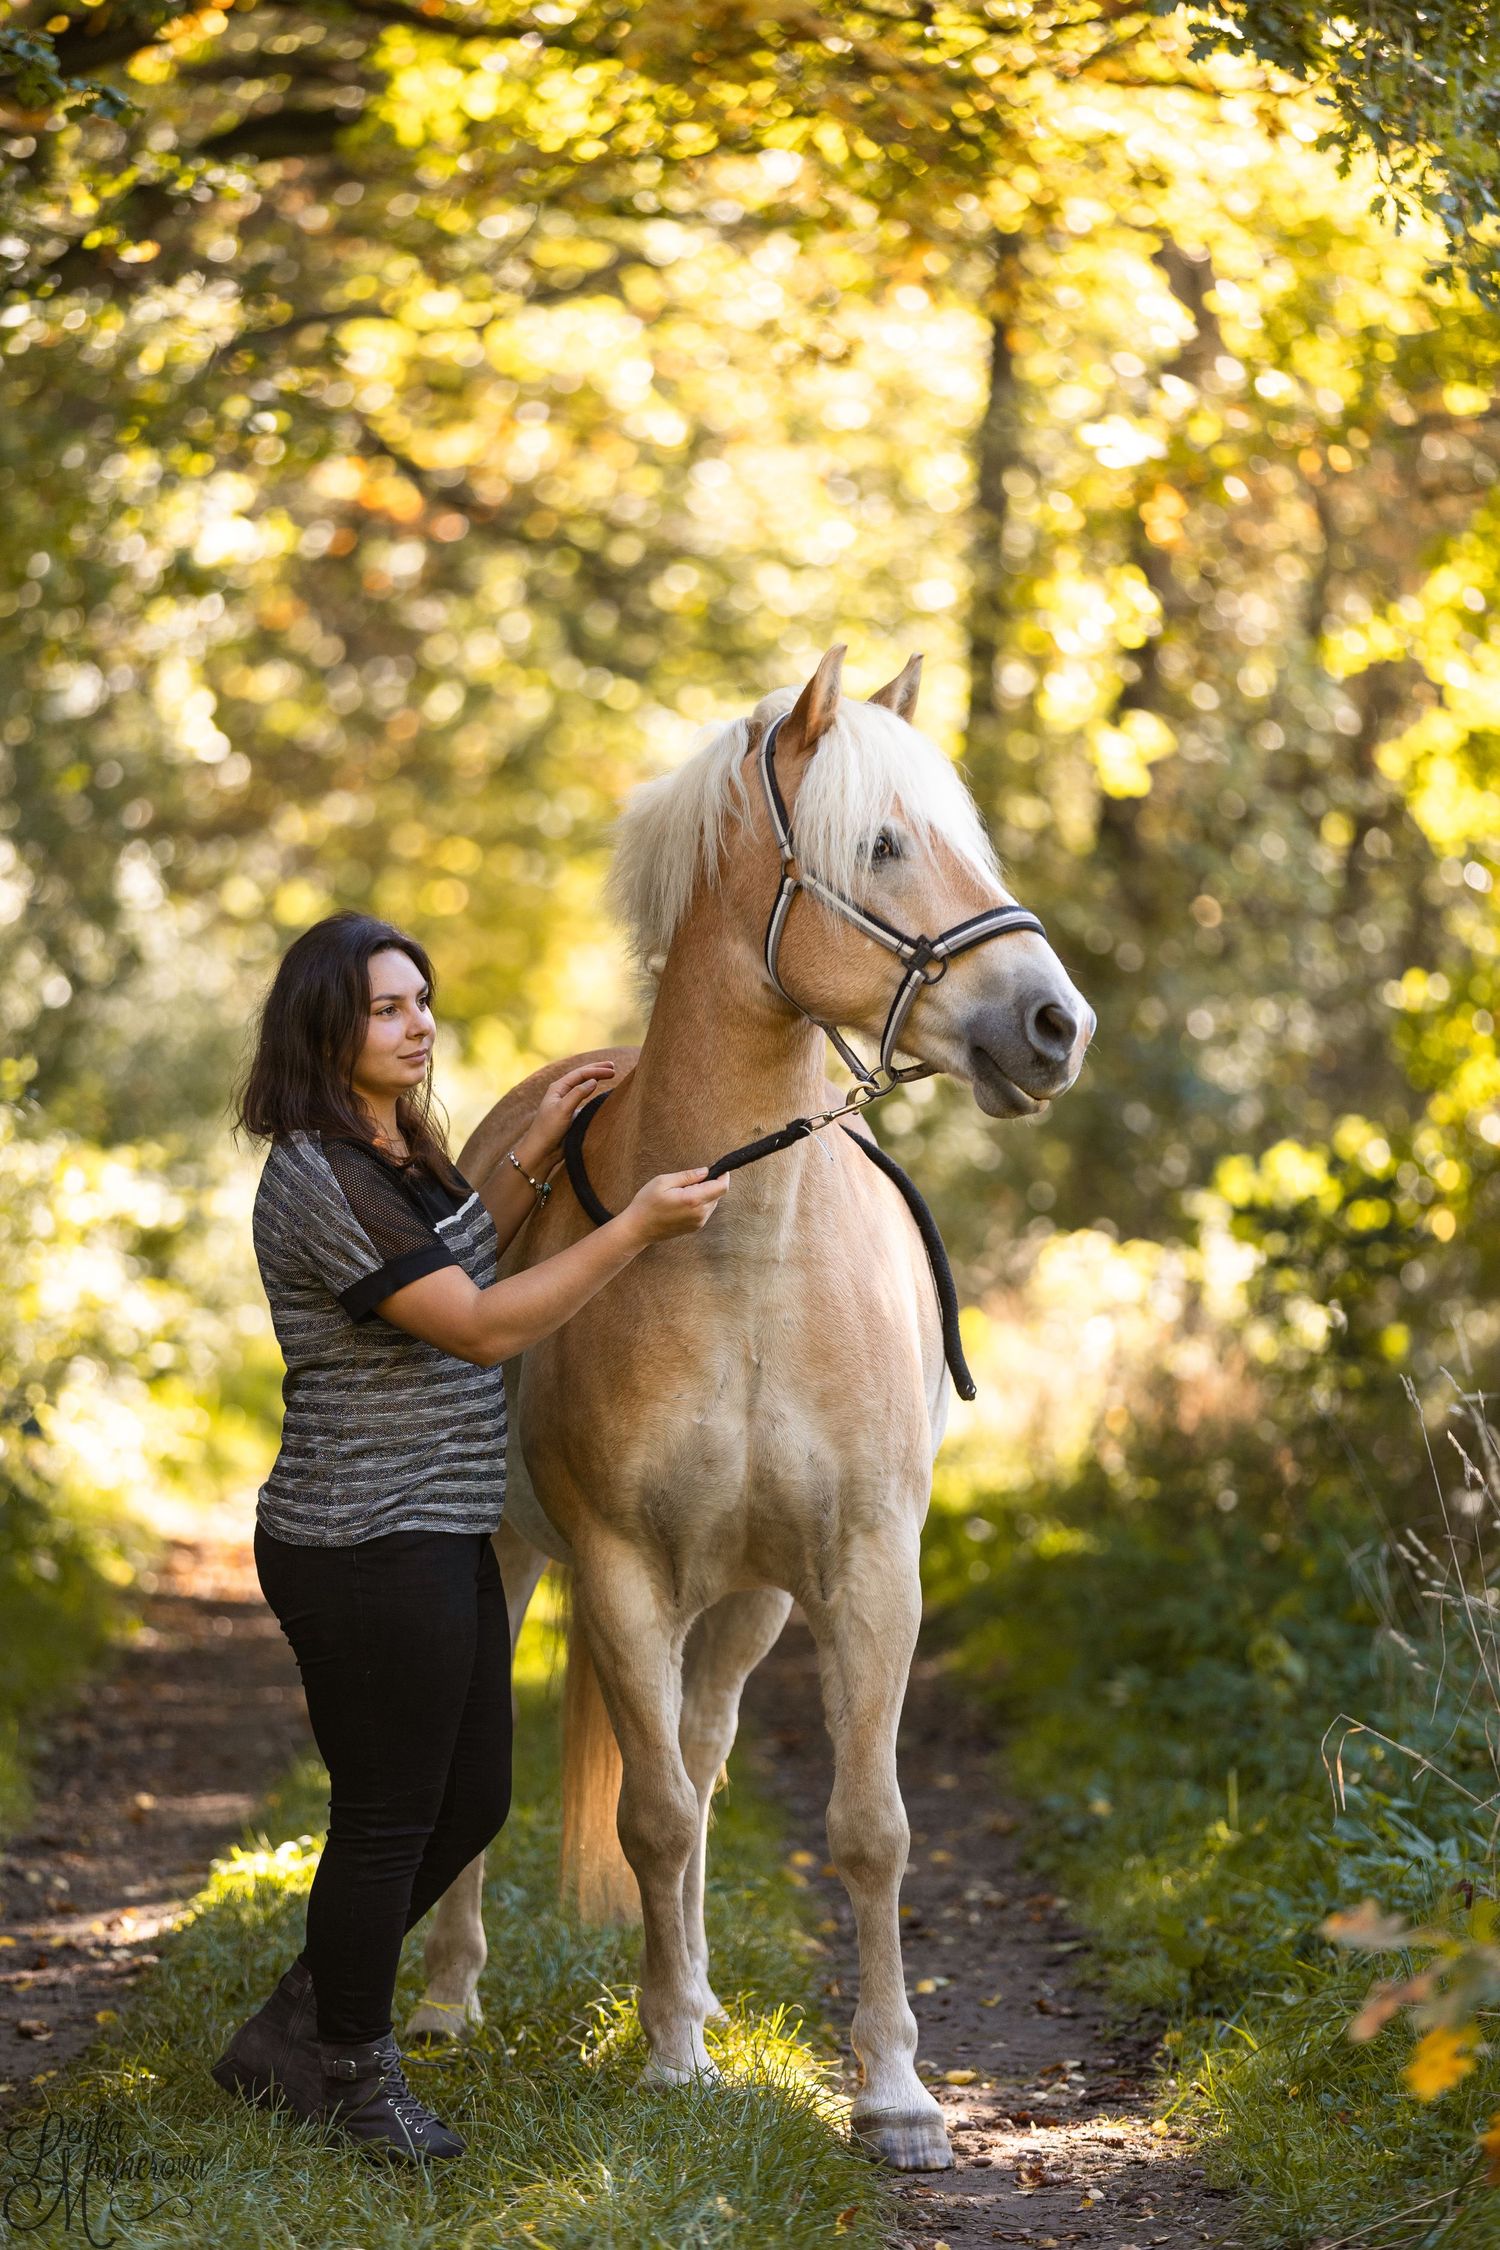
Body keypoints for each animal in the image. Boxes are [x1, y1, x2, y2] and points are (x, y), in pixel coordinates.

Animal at [403, 645, 1093, 2171]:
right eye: (881, 844)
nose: (1055, 1025)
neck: (749, 1261)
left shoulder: (864, 1570)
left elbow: (867, 1825)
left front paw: (894, 2094)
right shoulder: (617, 1569)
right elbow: (652, 1815)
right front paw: (669, 2063)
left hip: (753, 1600)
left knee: (712, 1748)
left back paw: (706, 1987)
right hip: (520, 1561)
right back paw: (452, 1998)